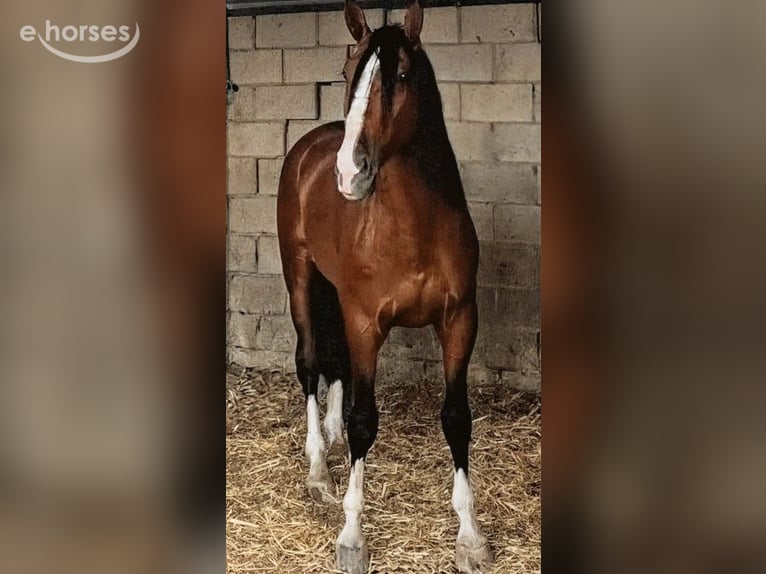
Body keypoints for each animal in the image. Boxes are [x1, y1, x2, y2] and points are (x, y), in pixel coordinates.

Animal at [277, 2, 492, 572]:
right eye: (348, 70)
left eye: (401, 75)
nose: (350, 173)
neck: (412, 229)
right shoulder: (364, 323)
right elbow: (363, 421)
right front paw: (352, 536)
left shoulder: (459, 321)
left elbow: (456, 417)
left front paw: (470, 534)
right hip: (300, 279)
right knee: (311, 362)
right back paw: (318, 470)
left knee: (336, 367)